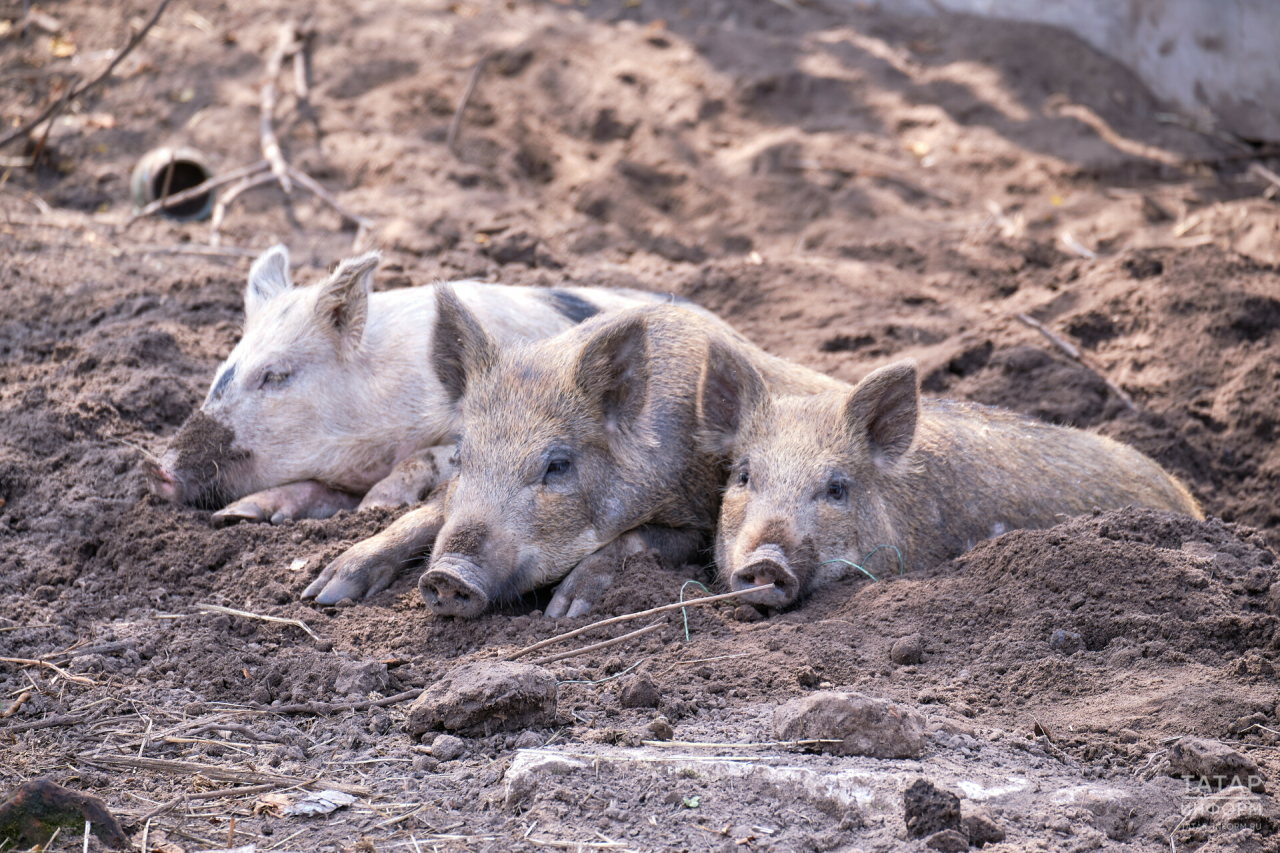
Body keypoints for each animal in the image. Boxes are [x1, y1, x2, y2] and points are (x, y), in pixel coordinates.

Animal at [296, 285, 839, 604]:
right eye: (460, 457)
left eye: (557, 466)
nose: (447, 574)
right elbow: (423, 516)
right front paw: (323, 592)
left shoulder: (698, 520)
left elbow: (631, 541)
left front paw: (566, 608)